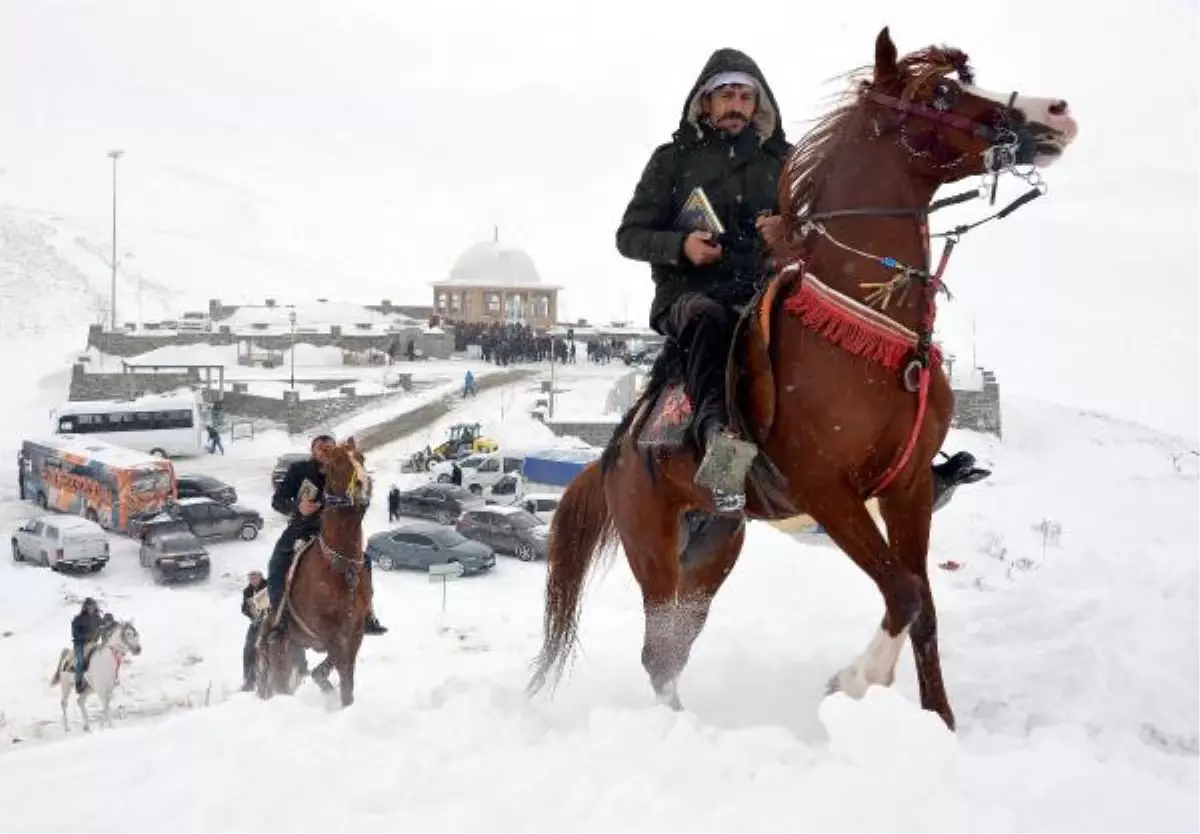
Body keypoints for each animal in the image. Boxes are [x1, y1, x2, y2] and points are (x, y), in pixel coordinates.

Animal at [259, 441, 372, 705]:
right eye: (337, 462)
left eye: (361, 458)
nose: (364, 483)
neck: (340, 568)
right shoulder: (328, 634)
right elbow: (340, 670)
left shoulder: (356, 631)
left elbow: (344, 673)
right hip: (280, 653)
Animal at [532, 27, 1080, 729]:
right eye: (939, 92)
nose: (1055, 112)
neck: (871, 331)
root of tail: (615, 453)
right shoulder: (826, 490)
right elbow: (902, 591)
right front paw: (855, 680)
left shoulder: (907, 489)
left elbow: (923, 606)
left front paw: (939, 723)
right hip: (651, 545)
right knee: (659, 650)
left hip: (714, 544)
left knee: (674, 645)